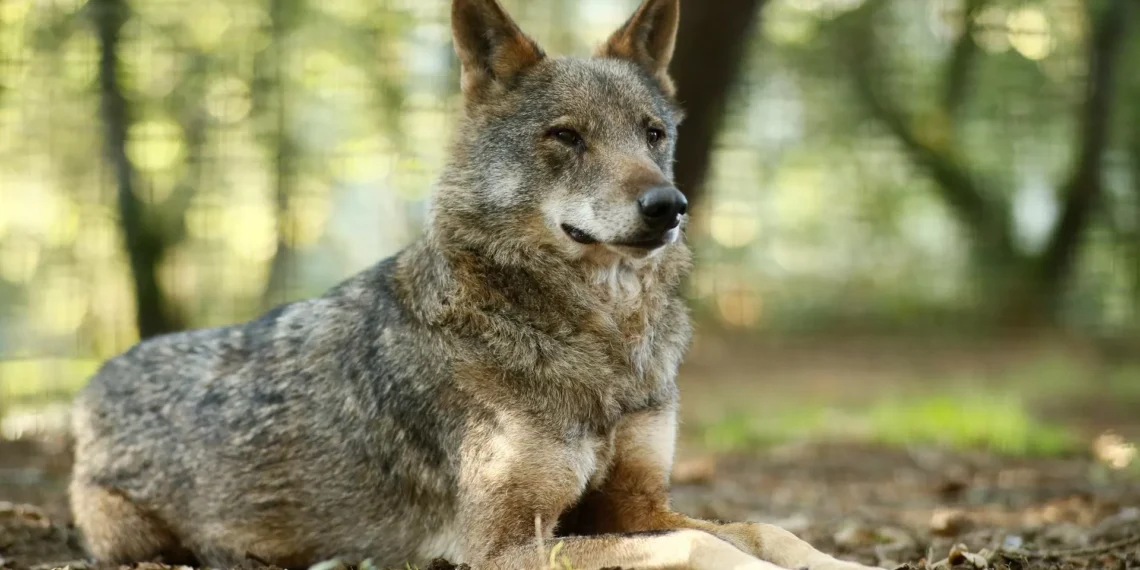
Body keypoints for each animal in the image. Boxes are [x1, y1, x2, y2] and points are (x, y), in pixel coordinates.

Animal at [68, 1, 883, 569]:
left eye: (653, 134)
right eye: (566, 137)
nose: (669, 206)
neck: (602, 341)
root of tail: (94, 382)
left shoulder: (636, 503)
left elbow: (765, 529)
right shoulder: (500, 544)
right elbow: (706, 547)